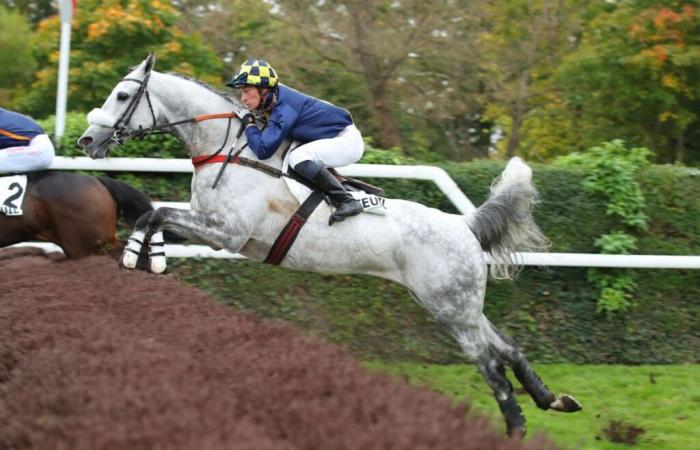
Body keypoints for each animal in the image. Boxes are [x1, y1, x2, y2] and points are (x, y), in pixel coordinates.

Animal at [76, 53, 584, 436]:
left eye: (123, 95)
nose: (85, 140)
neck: (227, 150)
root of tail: (466, 226)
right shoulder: (211, 231)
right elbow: (155, 214)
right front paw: (147, 258)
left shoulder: (226, 231)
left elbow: (156, 213)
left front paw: (133, 257)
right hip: (458, 303)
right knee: (507, 347)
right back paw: (554, 400)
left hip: (450, 307)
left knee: (489, 363)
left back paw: (516, 427)